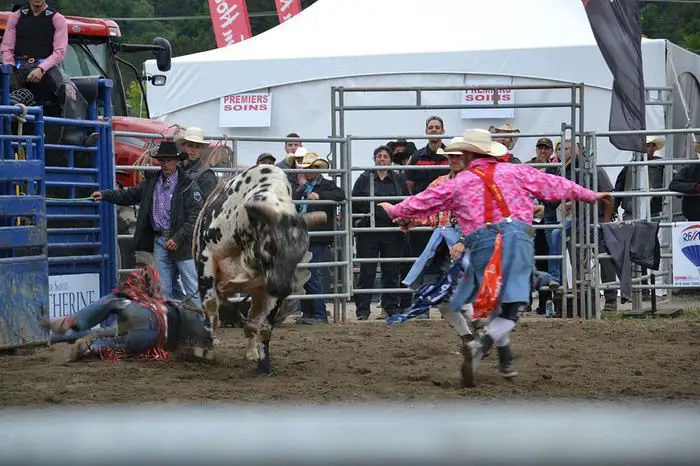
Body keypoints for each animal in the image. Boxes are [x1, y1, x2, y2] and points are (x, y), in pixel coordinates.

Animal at [193, 166, 326, 374]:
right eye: (271, 246)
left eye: (302, 252)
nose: (283, 288)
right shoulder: (206, 260)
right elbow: (211, 308)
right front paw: (205, 350)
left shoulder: (270, 286)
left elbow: (264, 326)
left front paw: (264, 364)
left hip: (257, 293)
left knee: (252, 322)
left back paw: (252, 352)